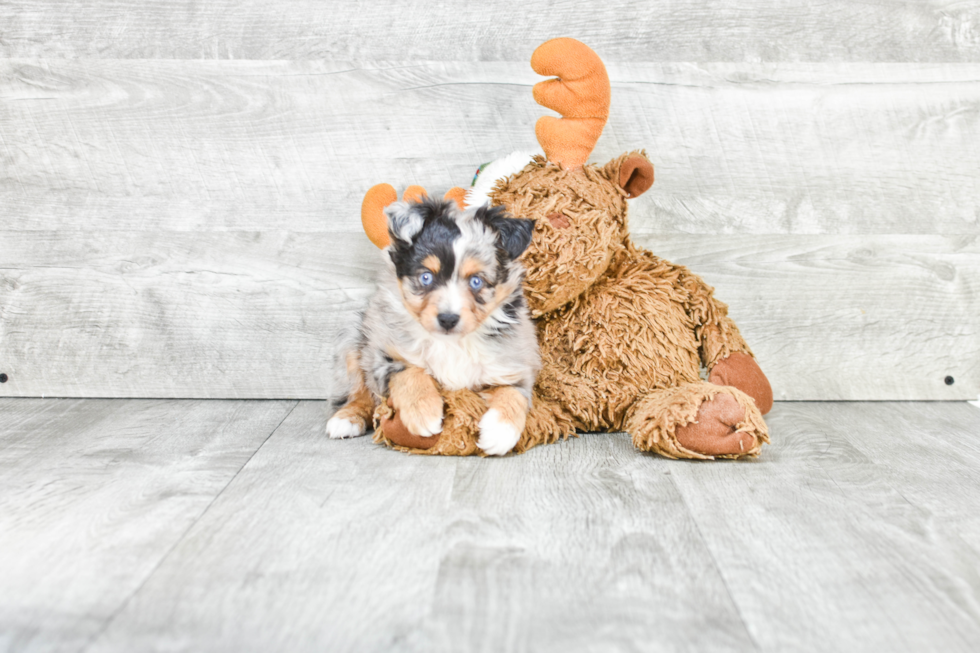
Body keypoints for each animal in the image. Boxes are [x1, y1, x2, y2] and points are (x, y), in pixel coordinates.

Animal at [330, 196, 544, 456]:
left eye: (476, 281)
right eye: (426, 277)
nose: (448, 319)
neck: (452, 342)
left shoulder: (515, 362)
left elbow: (513, 392)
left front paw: (500, 432)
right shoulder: (382, 353)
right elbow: (409, 371)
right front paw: (424, 414)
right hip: (353, 337)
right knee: (358, 391)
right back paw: (346, 419)